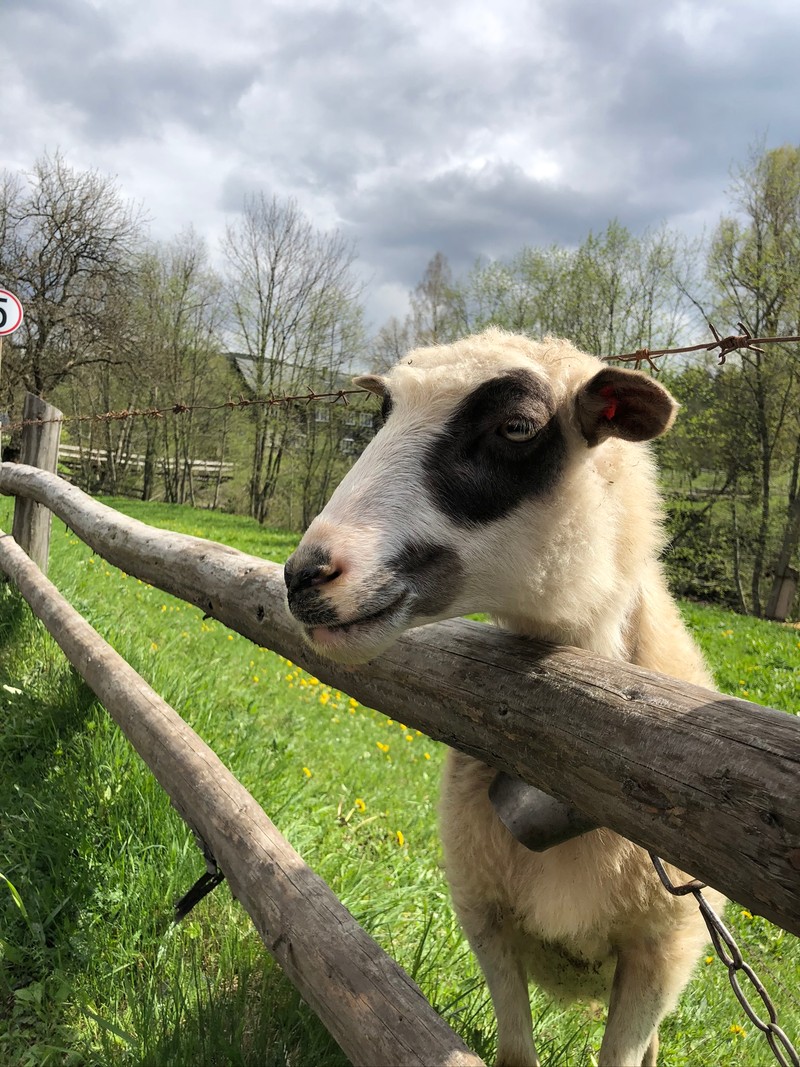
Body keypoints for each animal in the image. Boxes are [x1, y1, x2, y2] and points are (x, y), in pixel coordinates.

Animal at [285, 330, 725, 1067]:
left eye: (516, 427)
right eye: (382, 415)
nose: (303, 576)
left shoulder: (660, 955)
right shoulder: (484, 916)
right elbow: (517, 1052)